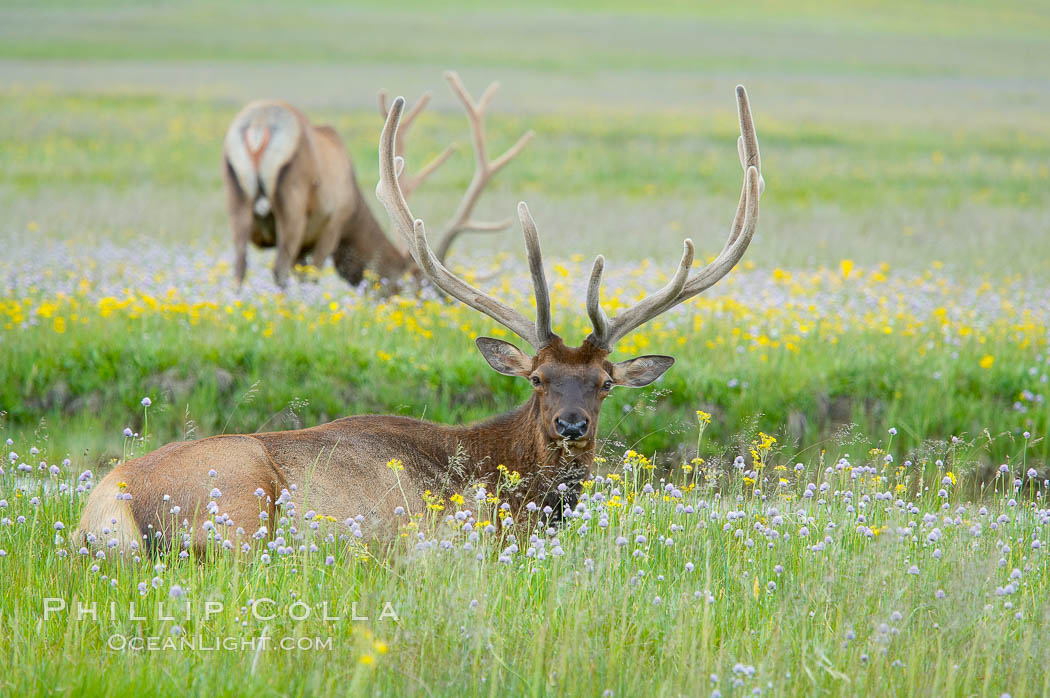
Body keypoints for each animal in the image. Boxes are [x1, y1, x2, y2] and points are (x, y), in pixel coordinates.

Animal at [221, 70, 533, 285]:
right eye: (415, 289)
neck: (354, 218)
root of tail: (259, 126)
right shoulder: (330, 227)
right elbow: (311, 275)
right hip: (293, 205)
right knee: (279, 269)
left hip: (237, 198)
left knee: (239, 265)